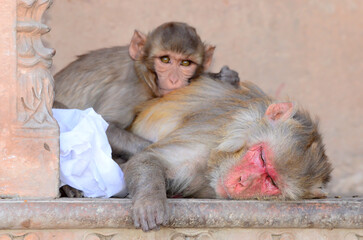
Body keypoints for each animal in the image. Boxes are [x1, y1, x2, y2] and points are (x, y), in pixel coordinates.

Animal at [126, 77, 334, 231]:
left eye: (272, 182)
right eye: (262, 157)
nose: (243, 182)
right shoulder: (205, 141)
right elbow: (148, 158)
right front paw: (150, 201)